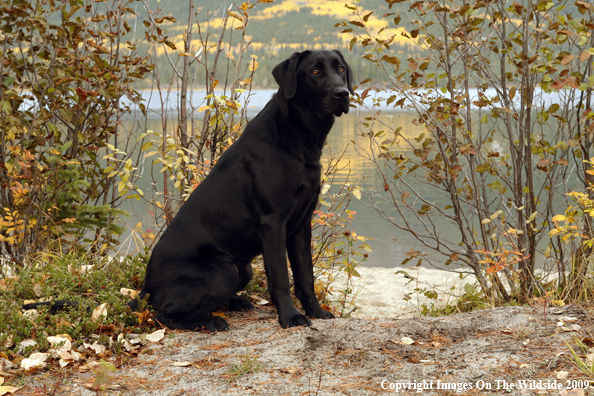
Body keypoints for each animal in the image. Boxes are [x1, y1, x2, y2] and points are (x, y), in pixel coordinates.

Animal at [130, 51, 352, 332]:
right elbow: (281, 277)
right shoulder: (272, 222)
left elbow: (305, 276)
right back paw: (210, 321)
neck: (301, 138)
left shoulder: (302, 224)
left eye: (341, 69)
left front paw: (316, 311)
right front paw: (290, 317)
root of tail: (146, 288)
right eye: (314, 71)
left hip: (243, 269)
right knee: (163, 315)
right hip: (226, 270)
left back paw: (235, 302)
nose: (343, 93)